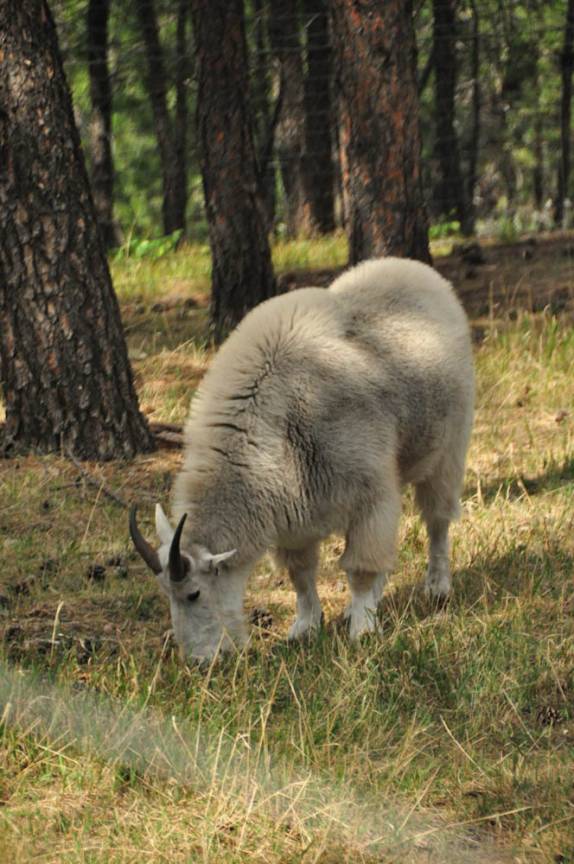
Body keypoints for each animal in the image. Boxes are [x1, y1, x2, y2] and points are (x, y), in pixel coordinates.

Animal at [130, 257, 474, 660]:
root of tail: (419, 271)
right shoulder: (294, 517)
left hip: (448, 449)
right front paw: (306, 628)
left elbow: (361, 565)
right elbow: (301, 574)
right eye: (165, 593)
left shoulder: (370, 494)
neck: (274, 429)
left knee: (437, 520)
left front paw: (362, 629)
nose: (200, 662)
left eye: (194, 592)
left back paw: (437, 586)